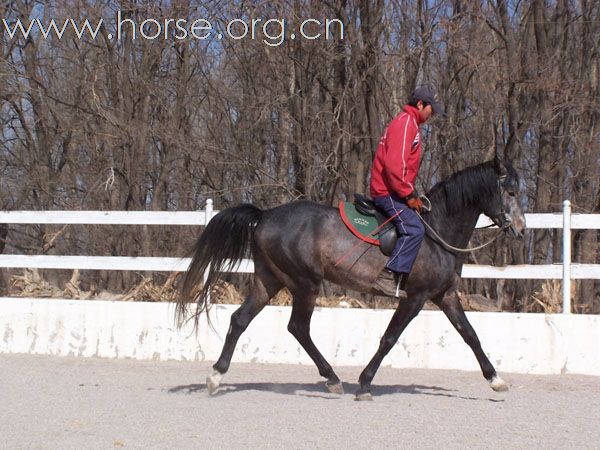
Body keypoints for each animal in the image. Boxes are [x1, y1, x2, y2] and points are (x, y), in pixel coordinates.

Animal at [175, 158, 524, 400]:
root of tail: (264, 216)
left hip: (269, 281)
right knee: (298, 327)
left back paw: (216, 377)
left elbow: (471, 335)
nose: (520, 229)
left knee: (240, 320)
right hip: (305, 283)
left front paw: (496, 380)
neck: (437, 230)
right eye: (510, 191)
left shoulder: (445, 295)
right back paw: (331, 379)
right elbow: (389, 339)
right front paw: (365, 382)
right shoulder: (415, 297)